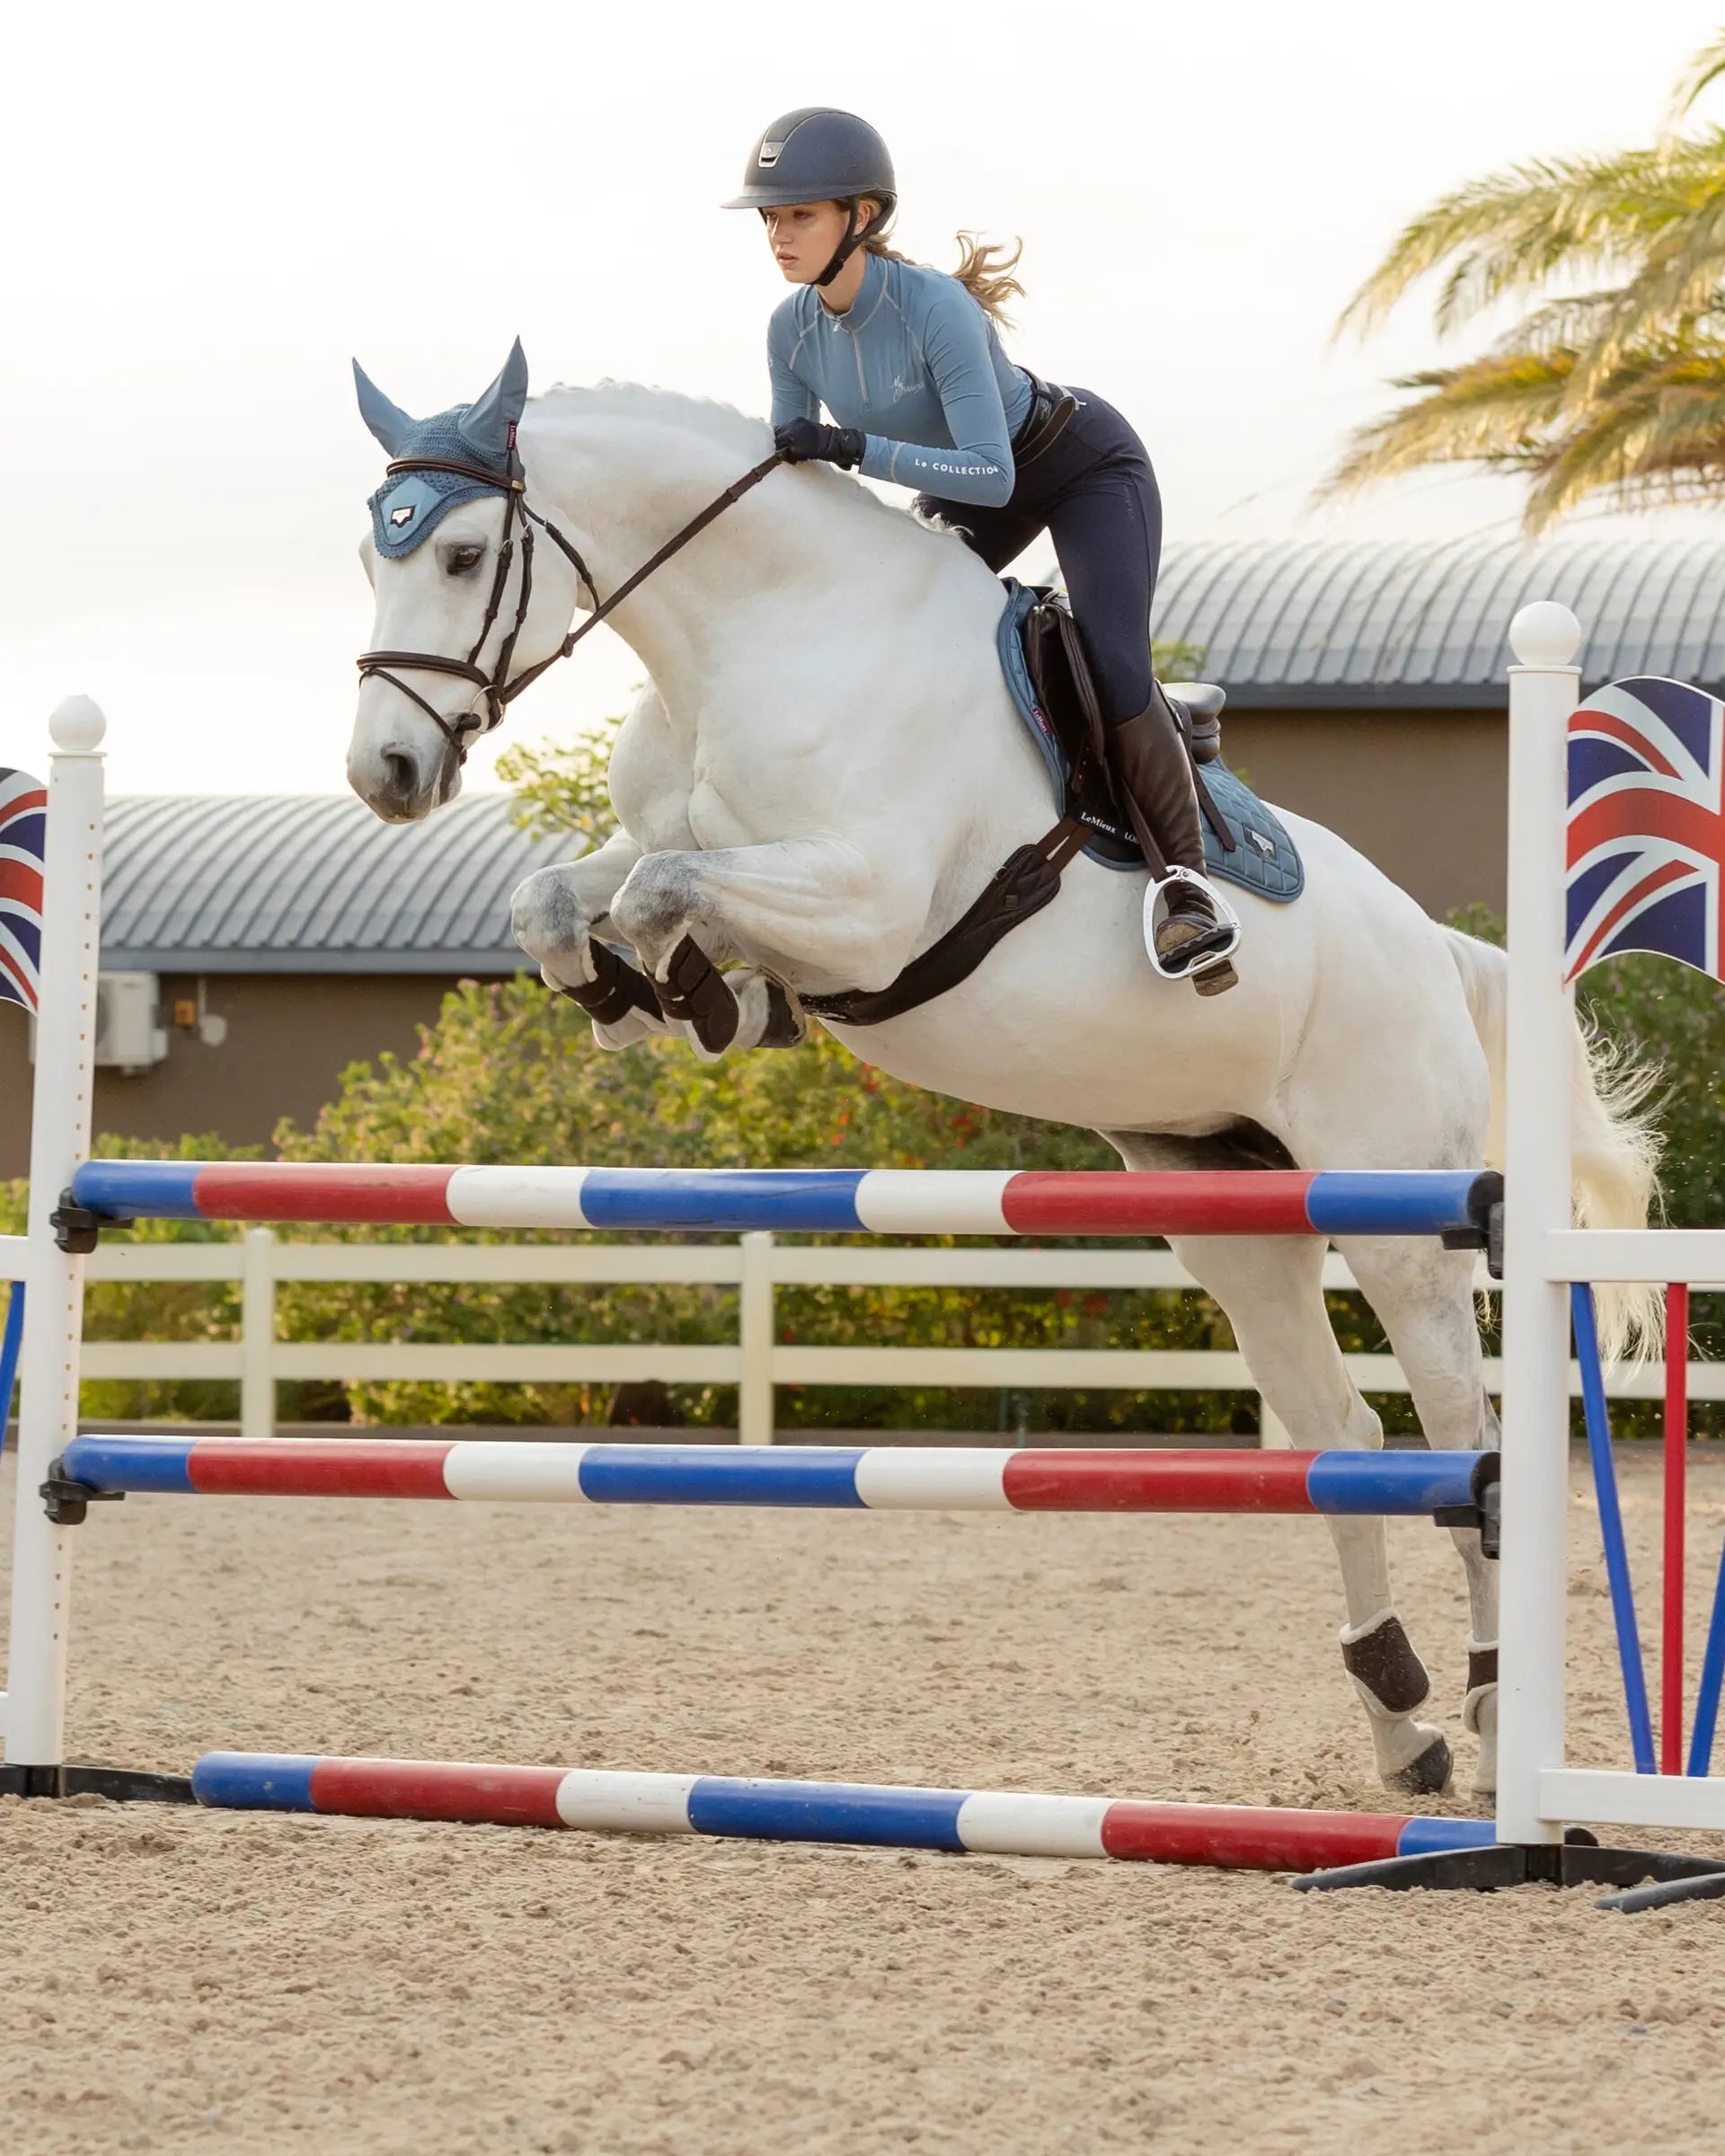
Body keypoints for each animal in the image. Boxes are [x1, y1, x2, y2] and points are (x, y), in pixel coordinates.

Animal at [348, 346, 1660, 1803]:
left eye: (463, 554)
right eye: (369, 553)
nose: (386, 772)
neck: (757, 635)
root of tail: (1435, 946)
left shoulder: (867, 908)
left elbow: (662, 890)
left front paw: (689, 990)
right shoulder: (694, 854)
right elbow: (568, 895)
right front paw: (647, 998)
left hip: (1401, 1219)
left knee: (1454, 1441)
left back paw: (1487, 1727)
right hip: (1233, 1209)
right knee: (1346, 1442)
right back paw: (1402, 1722)